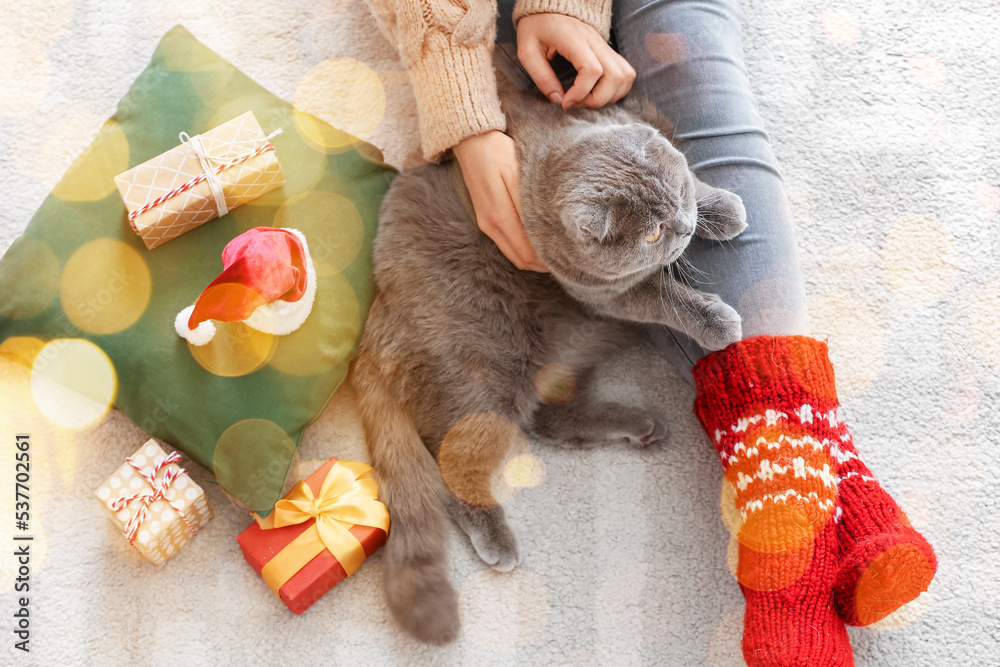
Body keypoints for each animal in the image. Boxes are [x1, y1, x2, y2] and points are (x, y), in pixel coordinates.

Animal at [350, 81, 744, 644]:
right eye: (652, 233)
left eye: (679, 194)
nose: (687, 227)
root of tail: (376, 319)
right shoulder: (606, 292)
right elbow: (668, 300)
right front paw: (716, 321)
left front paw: (723, 207)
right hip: (482, 377)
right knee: (453, 467)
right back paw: (496, 540)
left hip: (573, 344)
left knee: (548, 420)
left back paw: (636, 424)